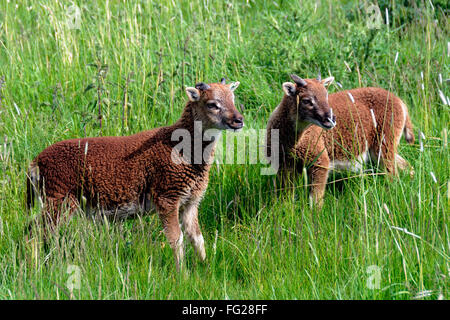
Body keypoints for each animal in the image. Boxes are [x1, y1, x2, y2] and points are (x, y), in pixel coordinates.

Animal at [26, 78, 244, 270]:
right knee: (35, 231)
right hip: (59, 200)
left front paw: (205, 268)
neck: (181, 147)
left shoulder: (190, 202)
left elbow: (197, 239)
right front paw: (182, 275)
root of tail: (36, 162)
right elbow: (176, 240)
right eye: (212, 104)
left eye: (232, 98)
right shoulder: (167, 198)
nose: (238, 120)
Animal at [266, 74, 416, 206]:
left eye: (326, 96)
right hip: (381, 148)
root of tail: (401, 103)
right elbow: (286, 197)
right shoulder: (284, 167)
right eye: (306, 100)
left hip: (384, 144)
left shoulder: (320, 162)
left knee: (392, 173)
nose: (331, 119)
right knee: (405, 166)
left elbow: (315, 200)